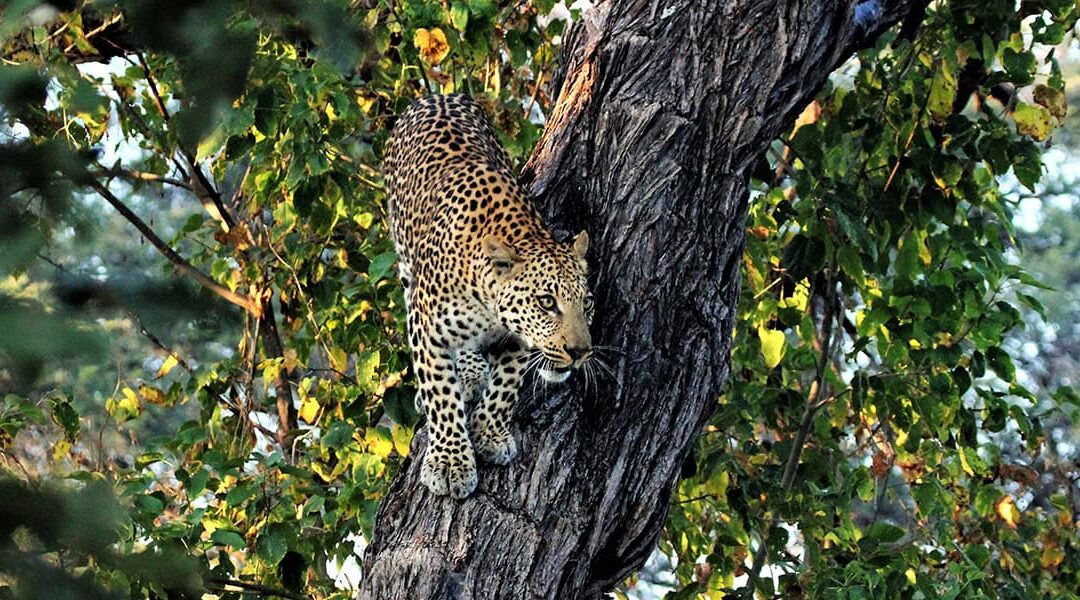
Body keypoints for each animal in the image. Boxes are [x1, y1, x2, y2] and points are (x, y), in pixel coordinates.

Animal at [381, 94, 594, 499]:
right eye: (547, 302)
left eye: (585, 303)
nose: (579, 352)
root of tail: (438, 95)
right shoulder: (424, 324)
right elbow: (440, 393)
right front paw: (450, 462)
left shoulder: (518, 338)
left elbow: (507, 384)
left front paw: (490, 433)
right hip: (403, 258)